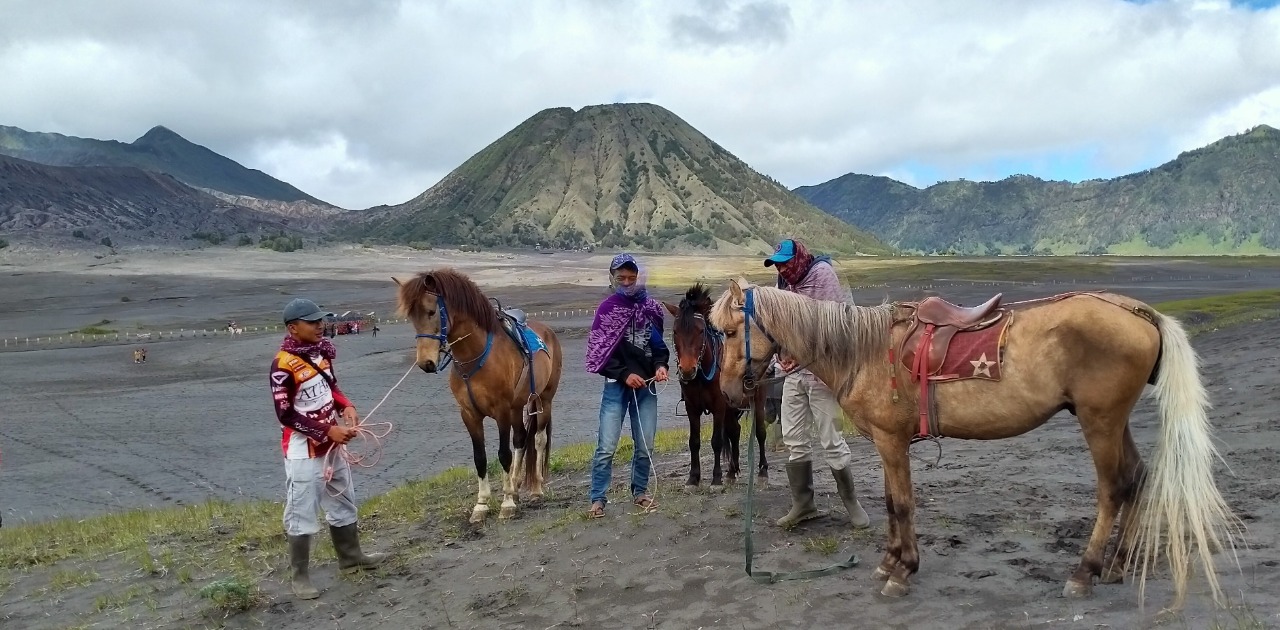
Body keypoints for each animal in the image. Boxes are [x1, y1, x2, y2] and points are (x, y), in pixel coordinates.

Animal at [394, 268, 565, 522]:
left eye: (431, 311)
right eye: (411, 317)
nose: (426, 362)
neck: (475, 356)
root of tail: (548, 331)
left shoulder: (502, 411)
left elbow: (503, 454)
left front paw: (506, 504)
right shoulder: (469, 414)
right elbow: (480, 458)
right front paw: (482, 505)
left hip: (543, 399)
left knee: (537, 439)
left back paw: (535, 489)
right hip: (518, 407)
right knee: (521, 439)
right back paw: (515, 486)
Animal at [660, 284, 768, 486]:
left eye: (700, 331)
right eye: (676, 331)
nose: (687, 369)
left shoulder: (719, 406)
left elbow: (716, 440)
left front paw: (716, 478)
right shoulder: (692, 407)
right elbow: (694, 441)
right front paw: (693, 478)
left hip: (757, 399)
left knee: (760, 432)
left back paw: (763, 470)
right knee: (734, 431)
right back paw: (732, 471)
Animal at [711, 277, 1239, 606]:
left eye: (733, 331)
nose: (731, 391)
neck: (864, 350)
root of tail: (1137, 311)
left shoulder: (891, 441)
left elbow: (902, 504)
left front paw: (901, 571)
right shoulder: (886, 443)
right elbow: (891, 503)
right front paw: (890, 562)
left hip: (1100, 421)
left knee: (1113, 489)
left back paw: (1085, 572)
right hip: (1114, 420)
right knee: (1136, 478)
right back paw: (1117, 565)